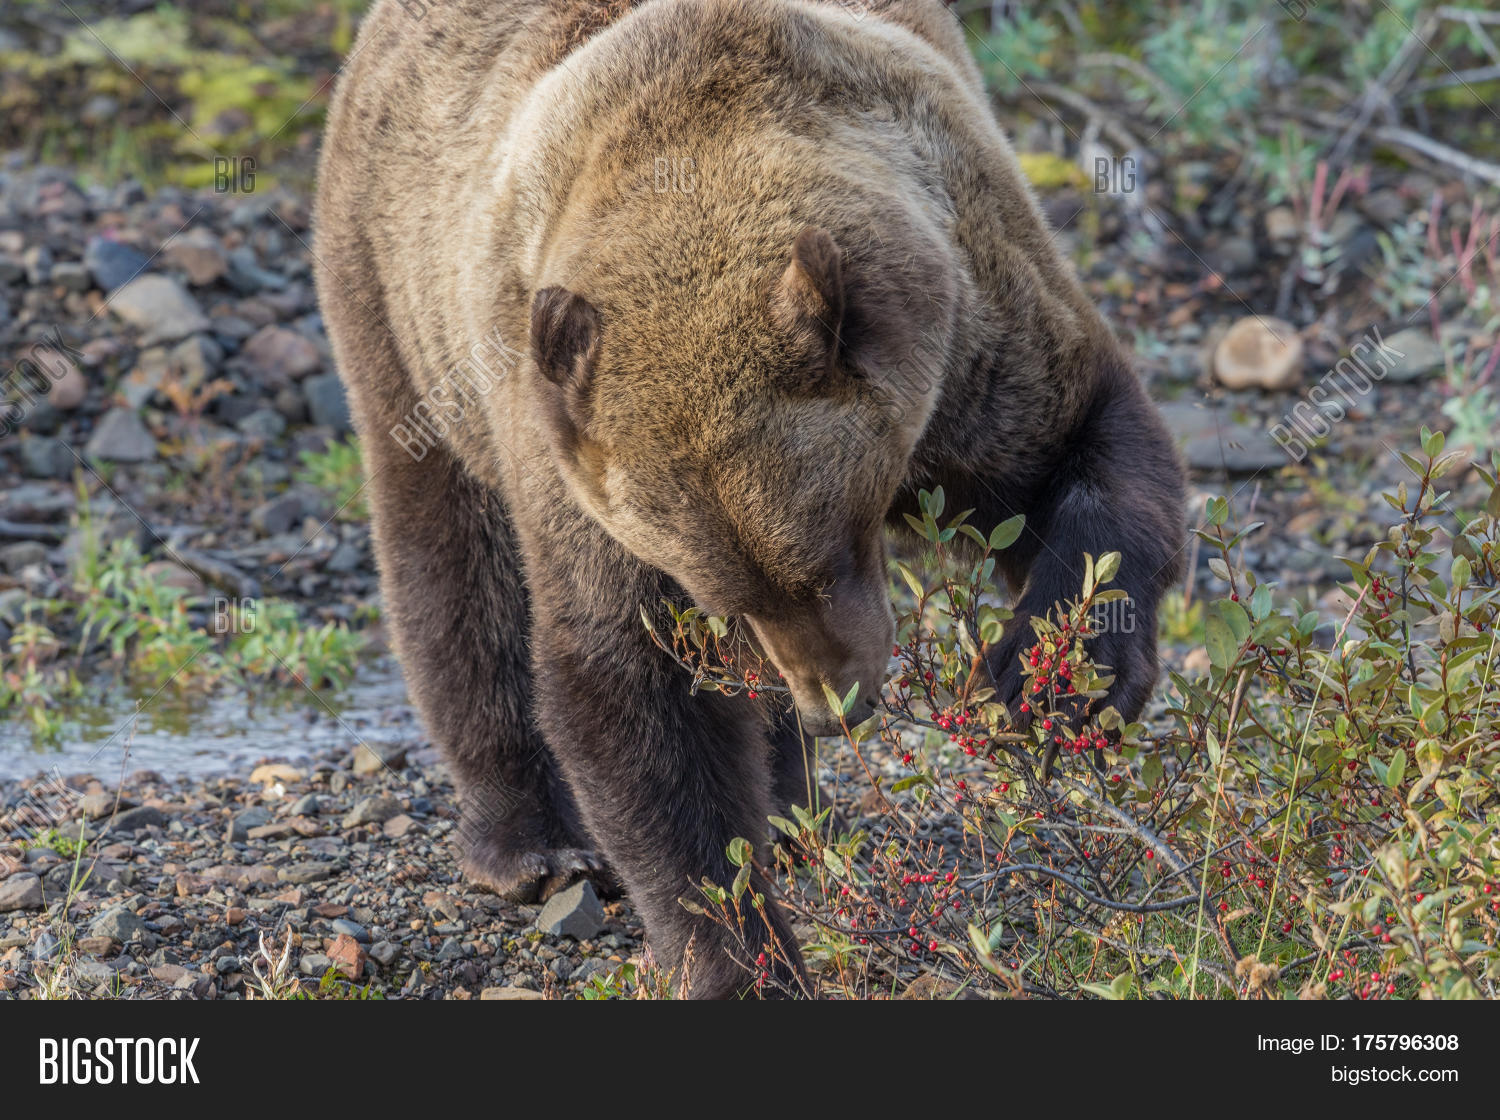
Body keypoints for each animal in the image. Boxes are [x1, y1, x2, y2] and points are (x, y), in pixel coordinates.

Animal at [314, 0, 1185, 998]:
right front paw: (744, 956)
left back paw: (796, 812)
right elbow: (637, 690)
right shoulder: (577, 463)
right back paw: (531, 844)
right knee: (454, 568)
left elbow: (1090, 458)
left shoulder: (972, 327)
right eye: (729, 596)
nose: (837, 704)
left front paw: (1051, 682)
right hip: (400, 305)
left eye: (825, 561)